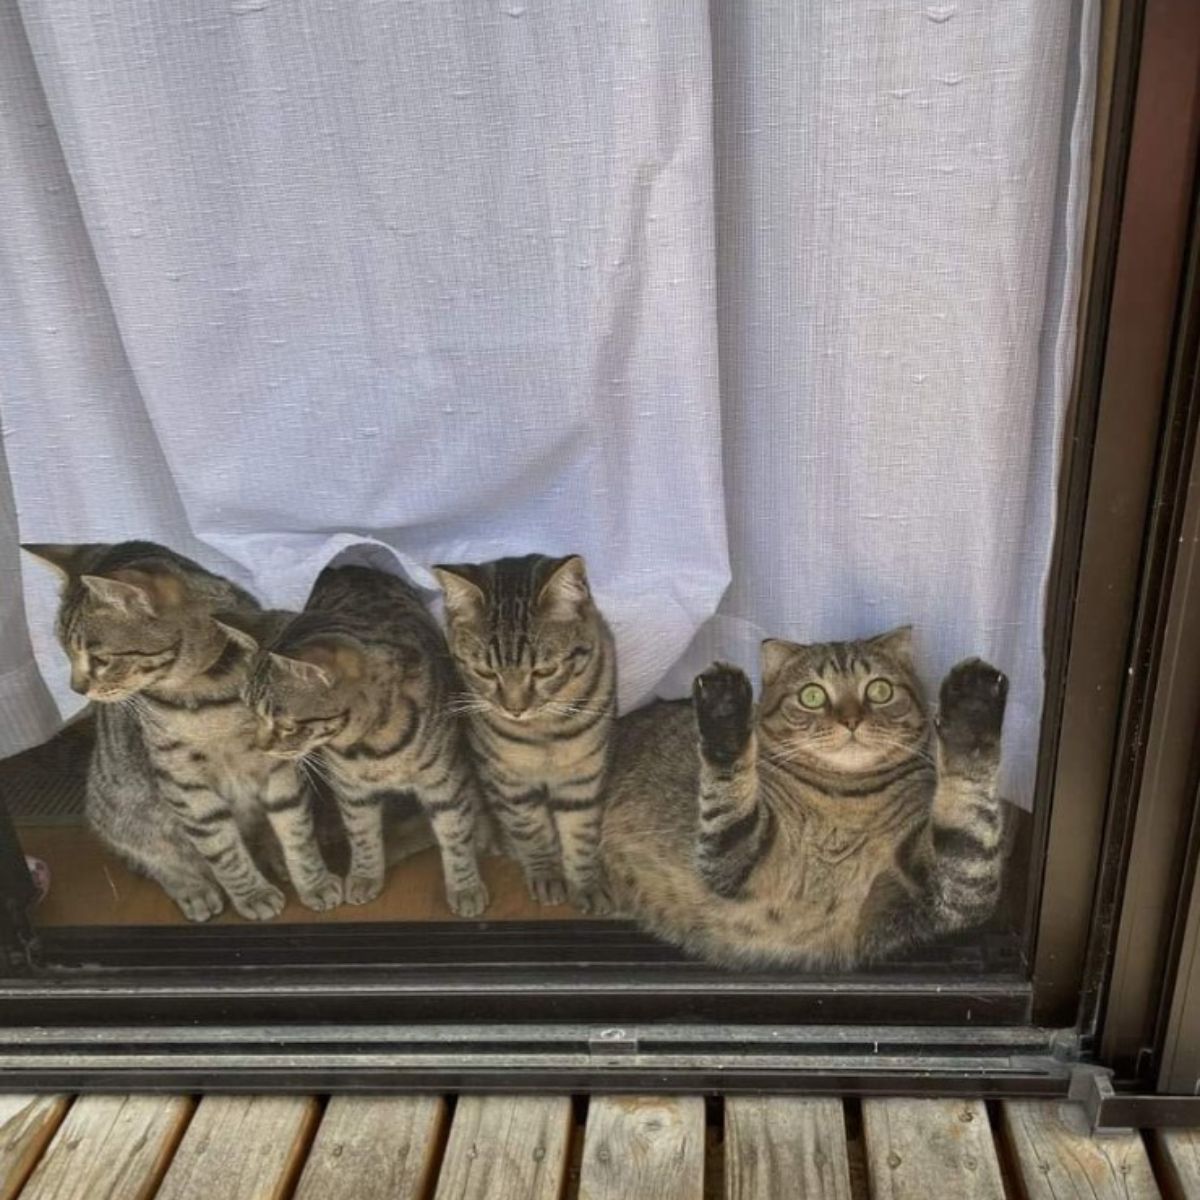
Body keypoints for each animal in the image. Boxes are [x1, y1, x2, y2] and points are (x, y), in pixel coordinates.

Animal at [24, 540, 343, 921]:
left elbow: (297, 831)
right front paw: (251, 894)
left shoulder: (280, 764)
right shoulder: (182, 778)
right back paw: (194, 889)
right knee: (158, 859)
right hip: (127, 809)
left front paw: (314, 882)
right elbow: (222, 848)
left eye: (100, 659)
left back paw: (274, 856)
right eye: (65, 651)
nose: (76, 689)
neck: (203, 694)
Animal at [220, 566, 492, 912]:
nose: (260, 747)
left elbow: (455, 834)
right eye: (250, 710)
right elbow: (362, 834)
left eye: (286, 725)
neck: (371, 746)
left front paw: (465, 885)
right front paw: (364, 874)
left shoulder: (443, 781)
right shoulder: (351, 790)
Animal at [434, 556, 619, 912]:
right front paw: (546, 872)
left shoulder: (583, 775)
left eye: (544, 671)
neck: (543, 731)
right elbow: (531, 828)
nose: (514, 709)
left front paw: (587, 883)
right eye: (485, 672)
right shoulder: (509, 779)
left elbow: (581, 833)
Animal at [604, 633, 1008, 969]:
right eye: (812, 695)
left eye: (879, 690)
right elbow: (729, 783)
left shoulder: (958, 891)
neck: (846, 801)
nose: (851, 720)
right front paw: (725, 711)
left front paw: (972, 710)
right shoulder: (729, 859)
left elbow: (968, 808)